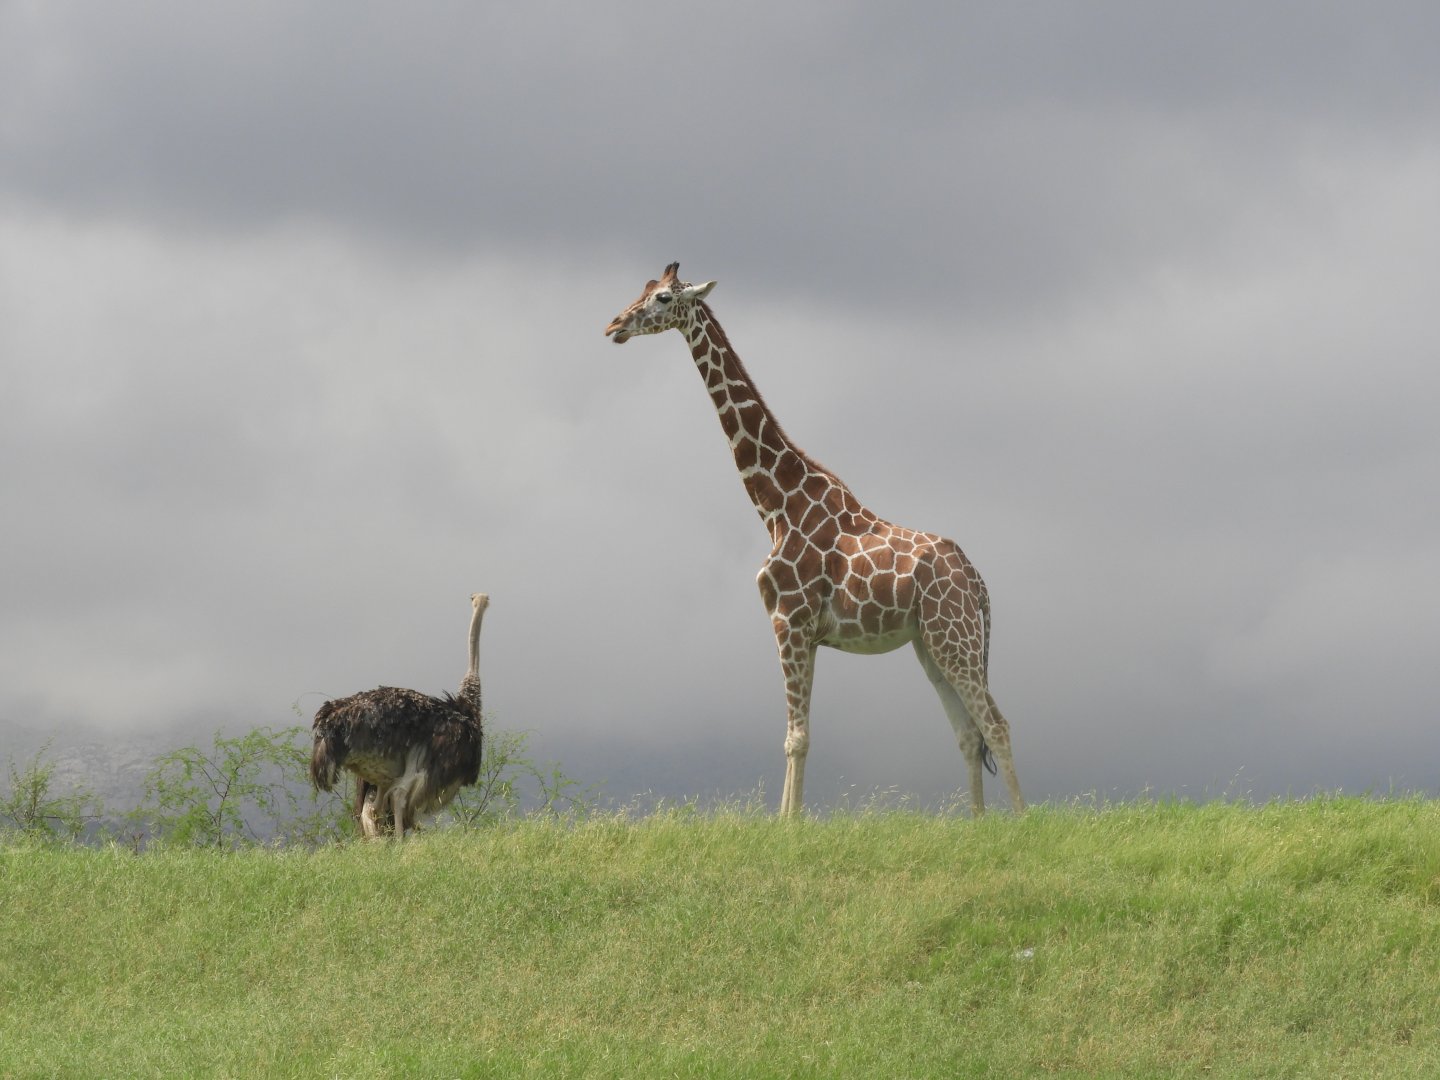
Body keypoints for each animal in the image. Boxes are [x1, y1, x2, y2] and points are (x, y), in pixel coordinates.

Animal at [604, 263, 1025, 816]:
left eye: (664, 299)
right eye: (643, 289)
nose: (614, 325)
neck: (776, 505)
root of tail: (978, 583)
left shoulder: (790, 621)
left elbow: (797, 738)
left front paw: (790, 826)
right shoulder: (804, 632)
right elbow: (794, 735)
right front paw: (784, 822)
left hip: (954, 635)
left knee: (996, 724)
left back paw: (1021, 821)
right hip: (931, 644)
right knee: (967, 733)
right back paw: (978, 823)